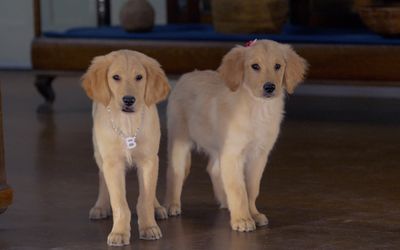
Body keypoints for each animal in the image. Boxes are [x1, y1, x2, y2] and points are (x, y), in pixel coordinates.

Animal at [82, 49, 170, 246]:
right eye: (116, 77)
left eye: (139, 77)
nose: (128, 100)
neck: (128, 123)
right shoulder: (112, 162)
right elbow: (119, 203)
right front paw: (119, 232)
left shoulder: (149, 160)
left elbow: (145, 198)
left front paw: (149, 227)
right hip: (99, 154)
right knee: (102, 177)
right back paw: (100, 206)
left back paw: (157, 207)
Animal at [164, 39, 308, 232]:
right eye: (255, 66)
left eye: (278, 66)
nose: (270, 87)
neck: (258, 107)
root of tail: (185, 76)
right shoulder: (233, 154)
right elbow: (239, 189)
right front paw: (242, 219)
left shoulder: (258, 155)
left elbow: (251, 188)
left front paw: (253, 214)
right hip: (180, 140)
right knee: (175, 173)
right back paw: (172, 205)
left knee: (214, 169)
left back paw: (225, 202)